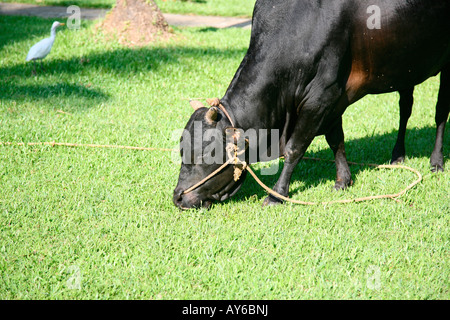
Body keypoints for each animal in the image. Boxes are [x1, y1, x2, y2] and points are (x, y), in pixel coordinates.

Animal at [173, 0, 450, 210]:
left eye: (206, 153)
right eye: (182, 149)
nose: (178, 197)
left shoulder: (321, 96)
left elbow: (295, 148)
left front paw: (277, 194)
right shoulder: (333, 98)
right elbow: (336, 140)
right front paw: (343, 180)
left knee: (439, 113)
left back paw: (436, 161)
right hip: (406, 68)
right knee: (405, 108)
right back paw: (397, 155)